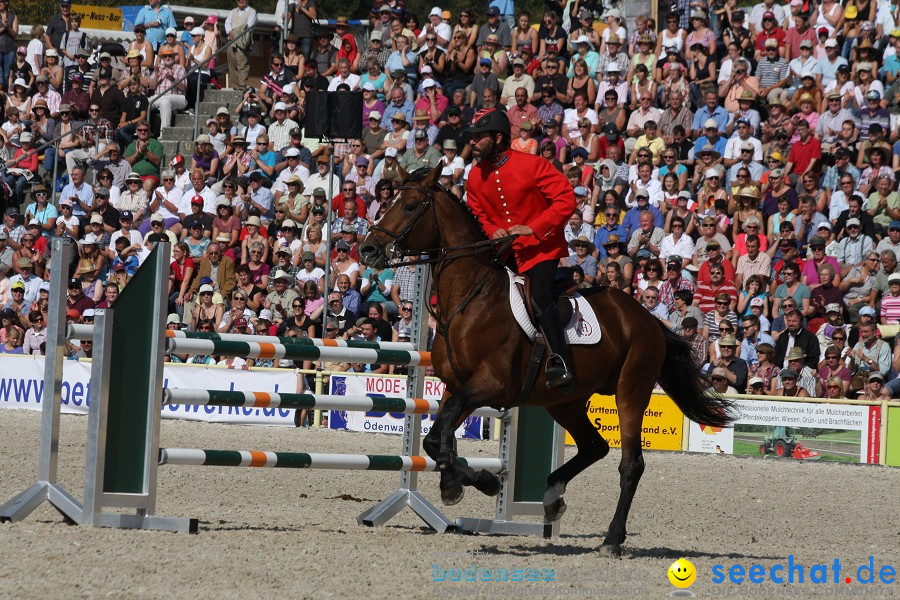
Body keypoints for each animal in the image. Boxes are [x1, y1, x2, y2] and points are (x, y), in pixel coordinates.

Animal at [356, 165, 736, 556]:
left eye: (410, 205)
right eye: (388, 202)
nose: (367, 249)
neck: (471, 298)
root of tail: (647, 318)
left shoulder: (490, 385)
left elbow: (441, 437)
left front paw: (482, 482)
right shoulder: (457, 387)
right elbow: (437, 439)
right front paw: (458, 483)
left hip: (631, 390)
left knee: (631, 464)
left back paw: (611, 539)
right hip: (564, 401)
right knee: (595, 446)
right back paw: (553, 495)